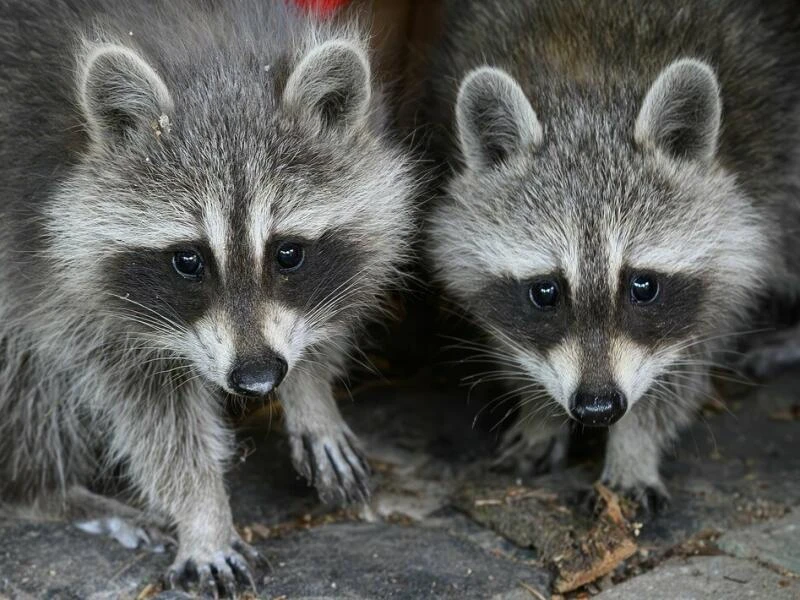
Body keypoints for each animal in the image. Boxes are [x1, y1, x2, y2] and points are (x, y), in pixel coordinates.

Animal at [0, 0, 412, 592]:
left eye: (288, 253)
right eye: (189, 260)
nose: (259, 379)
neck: (216, 57)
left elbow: (343, 294)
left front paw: (312, 394)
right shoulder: (59, 277)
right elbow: (154, 415)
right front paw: (202, 512)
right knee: (27, 378)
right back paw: (44, 490)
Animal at [424, 0, 800, 512]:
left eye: (643, 285)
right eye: (546, 291)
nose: (598, 408)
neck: (592, 88)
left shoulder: (741, 230)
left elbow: (683, 364)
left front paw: (634, 446)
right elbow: (513, 338)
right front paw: (539, 412)